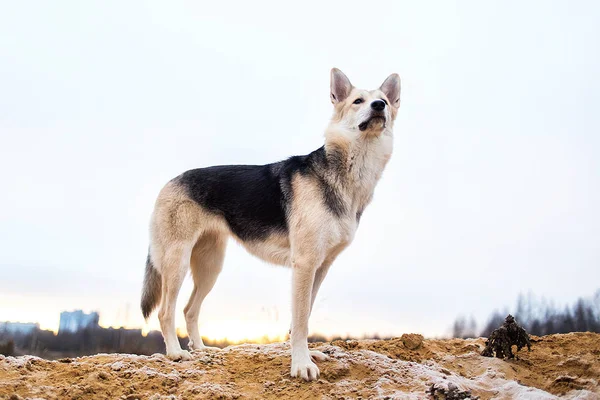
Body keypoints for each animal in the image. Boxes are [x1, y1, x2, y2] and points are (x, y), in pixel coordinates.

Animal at [141, 68, 400, 382]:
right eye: (358, 101)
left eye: (383, 99)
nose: (379, 106)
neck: (350, 172)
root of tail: (170, 182)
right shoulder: (304, 265)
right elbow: (300, 320)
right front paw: (301, 365)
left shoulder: (320, 267)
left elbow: (305, 314)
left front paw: (306, 355)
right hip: (176, 263)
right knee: (165, 311)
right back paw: (176, 353)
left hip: (210, 267)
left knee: (190, 309)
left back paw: (201, 349)